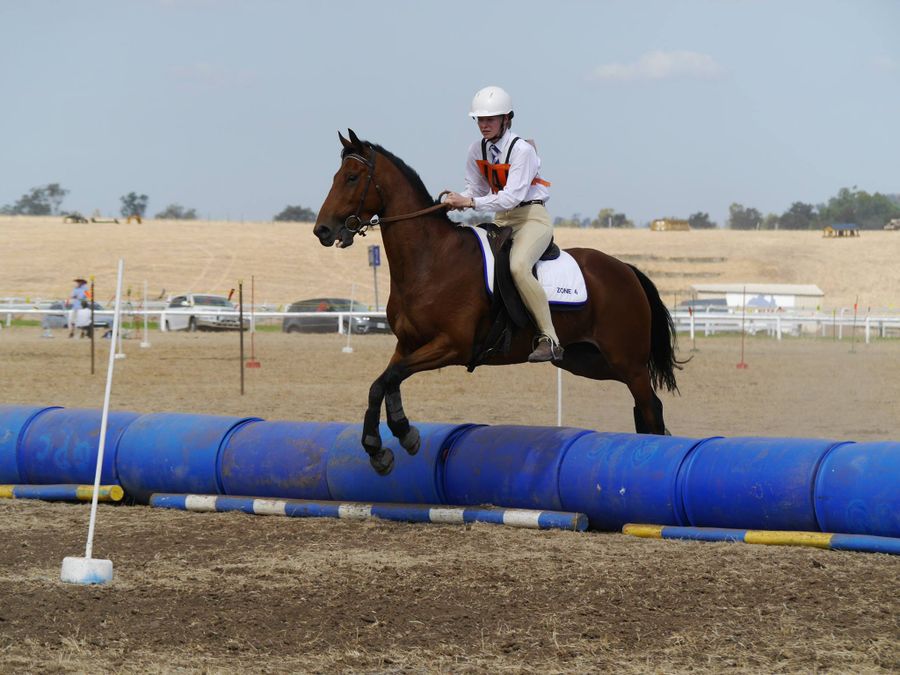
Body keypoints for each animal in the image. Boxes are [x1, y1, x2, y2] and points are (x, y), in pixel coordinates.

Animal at [314, 129, 684, 475]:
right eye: (335, 176)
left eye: (352, 178)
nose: (322, 230)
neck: (431, 260)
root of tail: (626, 270)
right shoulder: (407, 344)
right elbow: (384, 382)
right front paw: (392, 440)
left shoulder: (452, 346)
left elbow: (388, 378)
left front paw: (391, 439)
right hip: (588, 361)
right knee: (645, 404)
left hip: (627, 361)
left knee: (650, 406)